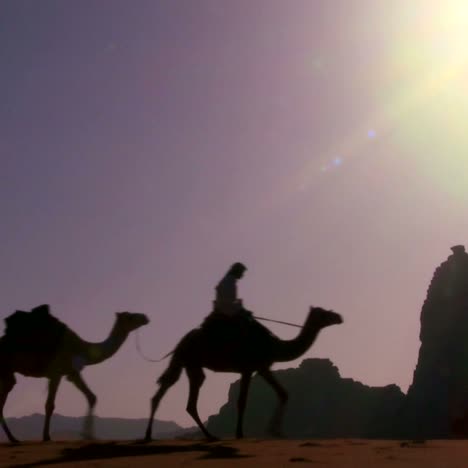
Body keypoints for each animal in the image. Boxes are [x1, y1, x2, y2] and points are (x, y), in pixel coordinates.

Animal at [0, 308, 148, 442]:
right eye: (130, 317)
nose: (145, 317)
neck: (81, 348)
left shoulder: (72, 372)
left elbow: (92, 397)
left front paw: (88, 435)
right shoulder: (56, 372)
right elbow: (49, 405)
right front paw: (46, 437)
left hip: (8, 375)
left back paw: (13, 438)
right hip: (5, 370)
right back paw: (13, 438)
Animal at [144, 306, 342, 440]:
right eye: (324, 313)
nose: (339, 316)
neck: (274, 345)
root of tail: (183, 340)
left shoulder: (262, 367)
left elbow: (283, 393)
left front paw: (276, 431)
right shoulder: (249, 368)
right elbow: (242, 402)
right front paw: (240, 434)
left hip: (186, 362)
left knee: (169, 388)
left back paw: (150, 435)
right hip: (191, 360)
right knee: (187, 398)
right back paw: (209, 436)